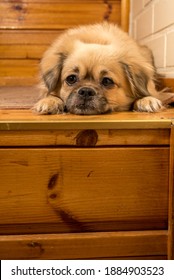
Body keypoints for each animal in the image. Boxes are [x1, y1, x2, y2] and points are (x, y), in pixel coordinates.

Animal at [33, 21, 174, 114]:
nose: (86, 91)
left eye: (107, 81)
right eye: (71, 79)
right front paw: (50, 101)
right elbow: (49, 94)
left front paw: (146, 100)